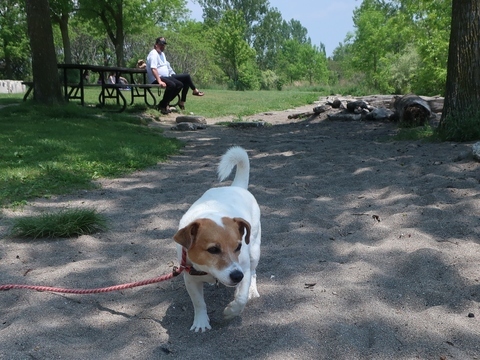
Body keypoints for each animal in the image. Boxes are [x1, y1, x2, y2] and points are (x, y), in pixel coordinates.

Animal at [173, 146, 260, 332]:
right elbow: (198, 302)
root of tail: (236, 186)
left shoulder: (243, 268)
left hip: (255, 250)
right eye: (213, 249)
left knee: (254, 272)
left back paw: (252, 289)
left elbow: (241, 298)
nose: (237, 276)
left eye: (238, 247)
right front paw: (201, 322)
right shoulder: (190, 278)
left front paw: (231, 311)